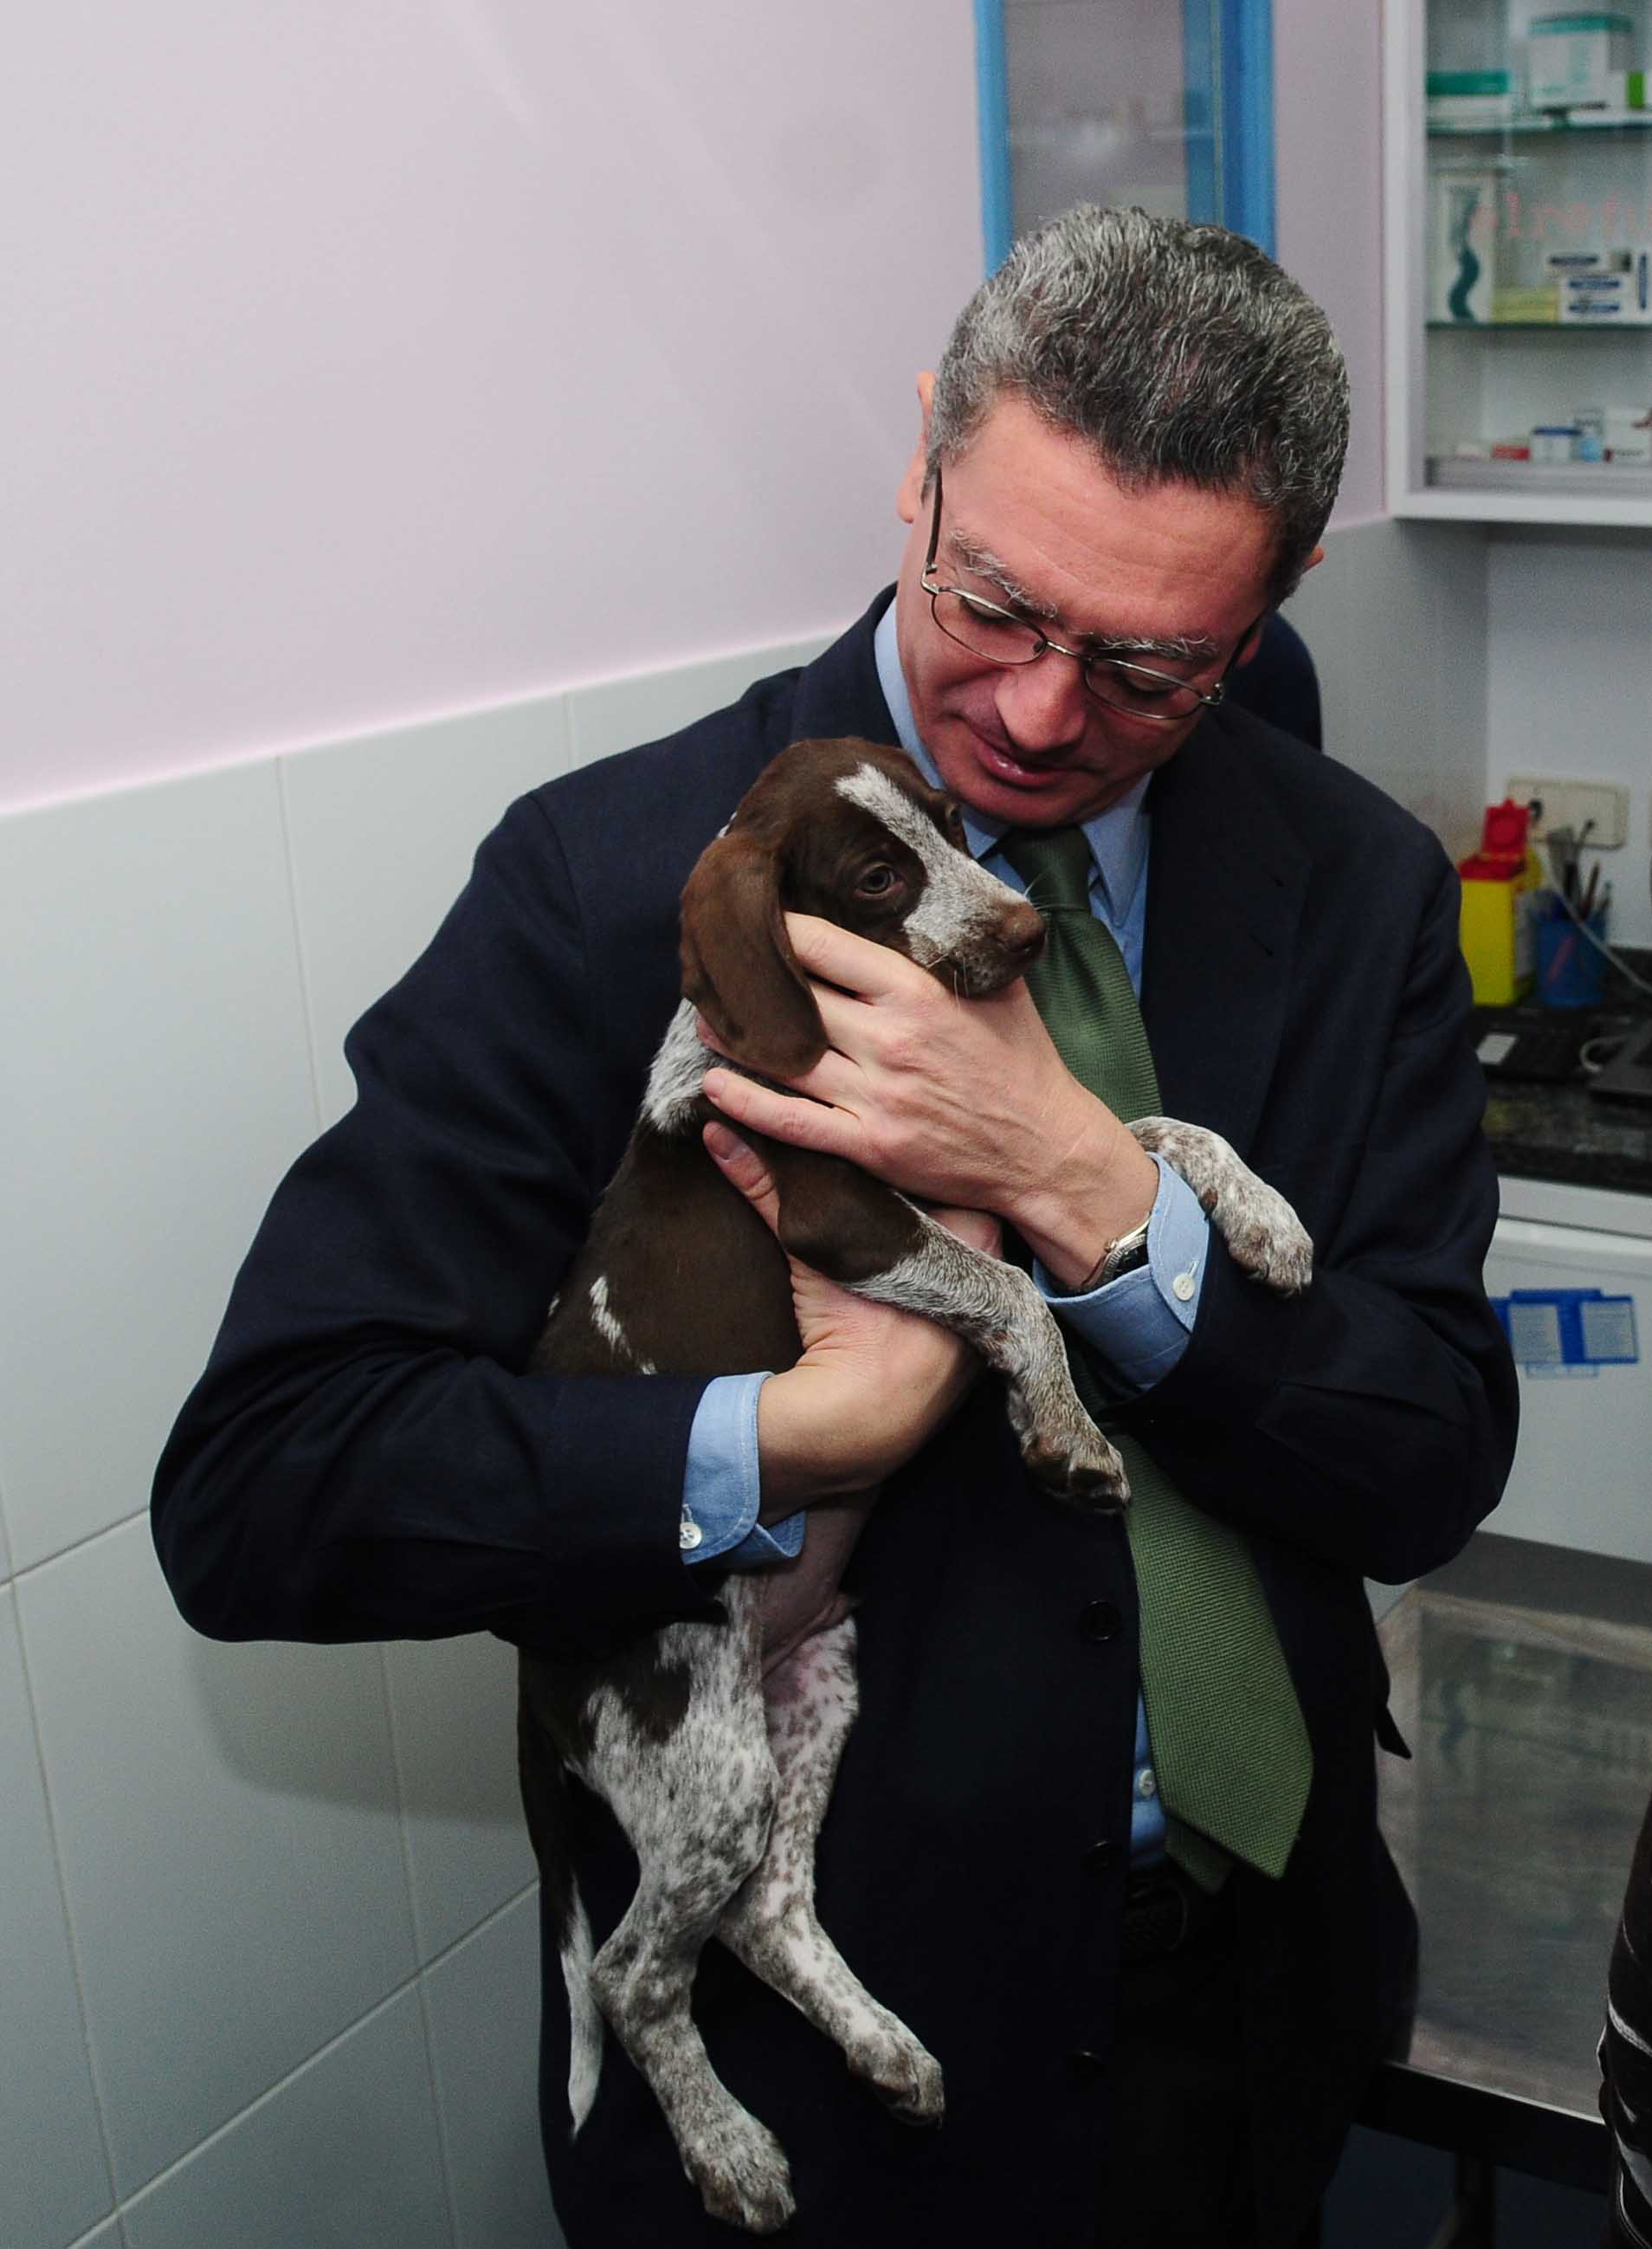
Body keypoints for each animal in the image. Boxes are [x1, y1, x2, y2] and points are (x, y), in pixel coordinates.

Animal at [517, 736, 1312, 2232]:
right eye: (880, 877)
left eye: (954, 825)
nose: (1020, 929)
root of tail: (534, 1672)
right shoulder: (845, 1213)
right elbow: (1016, 1291)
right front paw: (1066, 1433)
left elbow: (1155, 1131)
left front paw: (1262, 1215)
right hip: (703, 1765)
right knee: (633, 1974)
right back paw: (729, 2148)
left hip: (809, 1697)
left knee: (764, 1916)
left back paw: (884, 2049)